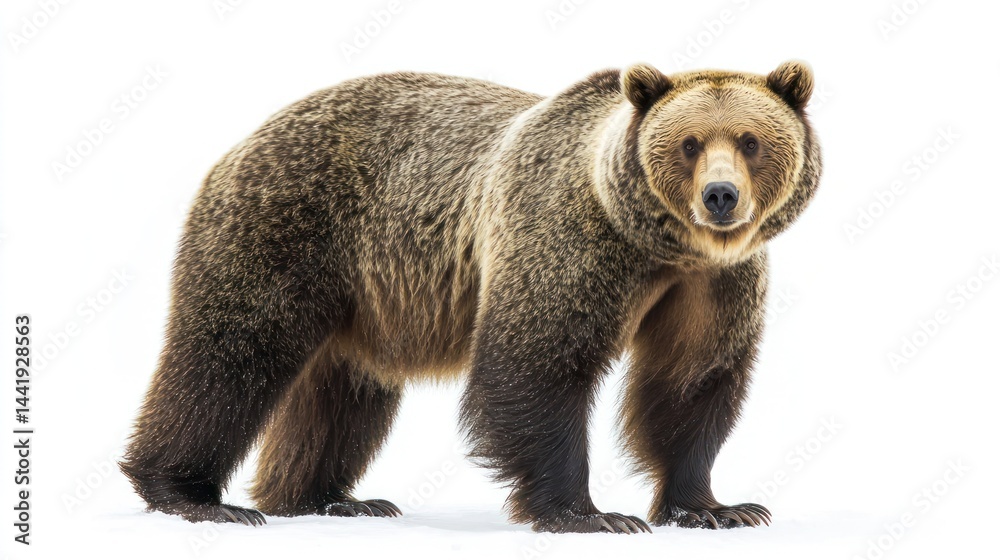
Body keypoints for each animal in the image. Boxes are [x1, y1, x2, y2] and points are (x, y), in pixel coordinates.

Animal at [120, 60, 821, 534]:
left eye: (752, 141)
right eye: (689, 143)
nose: (721, 197)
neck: (660, 247)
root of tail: (246, 136)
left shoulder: (715, 283)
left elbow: (691, 380)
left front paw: (717, 507)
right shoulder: (568, 241)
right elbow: (536, 366)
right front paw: (588, 513)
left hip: (364, 295)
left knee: (344, 392)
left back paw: (330, 498)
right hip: (286, 229)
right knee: (229, 356)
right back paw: (192, 495)